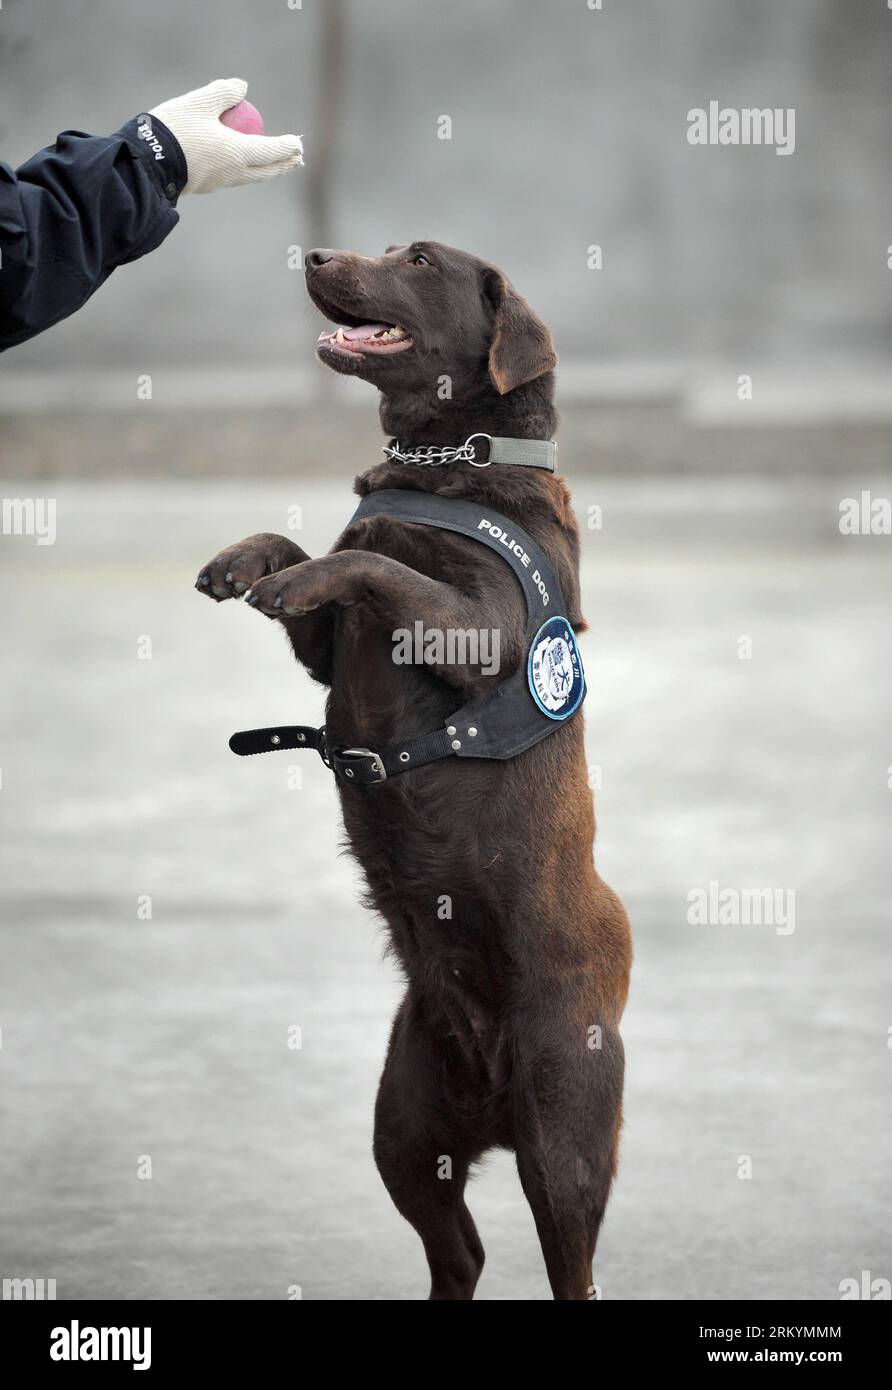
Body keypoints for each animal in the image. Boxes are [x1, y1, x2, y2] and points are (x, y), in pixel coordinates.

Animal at [197, 244, 628, 1295]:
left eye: (419, 259)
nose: (317, 255)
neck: (449, 466)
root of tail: (492, 1098)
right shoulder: (326, 656)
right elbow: (311, 550)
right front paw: (247, 559)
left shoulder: (484, 630)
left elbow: (379, 569)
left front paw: (298, 576)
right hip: (404, 1124)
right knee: (458, 1249)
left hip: (565, 1133)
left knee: (570, 1265)